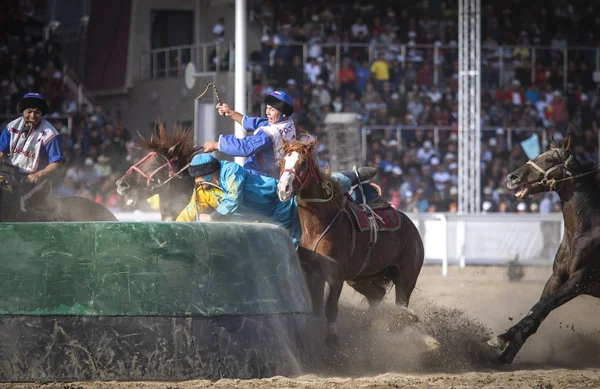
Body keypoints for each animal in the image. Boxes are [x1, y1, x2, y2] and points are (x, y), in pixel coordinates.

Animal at [276, 136, 426, 346]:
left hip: (406, 278)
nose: (284, 189)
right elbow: (317, 309)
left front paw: (332, 341)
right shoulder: (313, 274)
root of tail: (412, 227)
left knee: (400, 309)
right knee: (377, 296)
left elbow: (330, 308)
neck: (317, 227)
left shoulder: (335, 276)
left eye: (303, 163)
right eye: (282, 161)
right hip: (361, 277)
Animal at [488, 128, 600, 364]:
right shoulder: (557, 277)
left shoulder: (580, 280)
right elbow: (536, 311)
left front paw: (503, 339)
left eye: (549, 159)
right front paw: (506, 351)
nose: (512, 177)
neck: (587, 230)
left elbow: (541, 308)